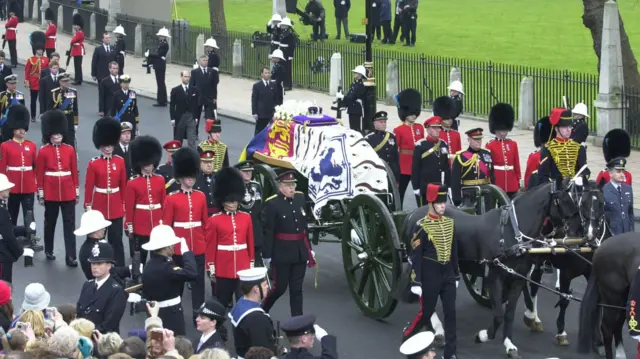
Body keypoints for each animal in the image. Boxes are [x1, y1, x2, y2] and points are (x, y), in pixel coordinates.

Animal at [402, 181, 584, 358]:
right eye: (563, 200)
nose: (579, 231)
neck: (512, 235)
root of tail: (411, 215)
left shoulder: (517, 280)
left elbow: (509, 314)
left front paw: (509, 344)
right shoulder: (495, 278)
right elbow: (498, 315)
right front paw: (482, 336)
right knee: (426, 294)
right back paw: (438, 329)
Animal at [524, 181, 608, 348]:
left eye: (602, 203)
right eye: (583, 203)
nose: (590, 234)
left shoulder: (592, 274)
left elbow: (596, 302)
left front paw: (597, 338)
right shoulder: (565, 273)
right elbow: (564, 300)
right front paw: (561, 332)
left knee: (534, 282)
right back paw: (532, 315)